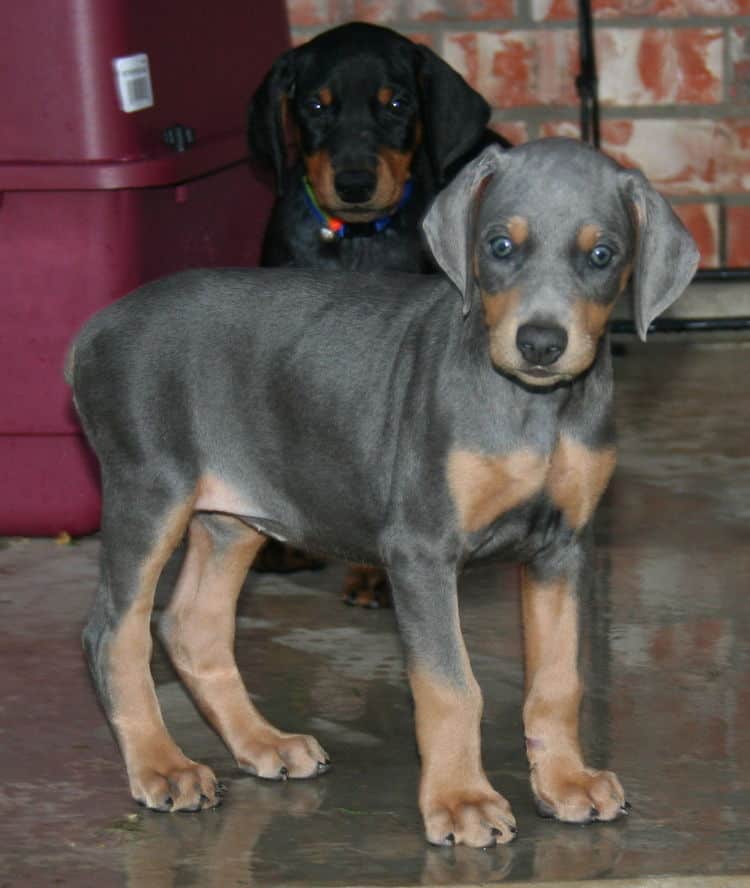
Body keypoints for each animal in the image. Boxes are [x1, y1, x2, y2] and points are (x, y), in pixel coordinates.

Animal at [69, 137, 700, 848]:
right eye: (499, 246)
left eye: (602, 255)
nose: (540, 344)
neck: (535, 409)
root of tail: (94, 329)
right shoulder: (421, 549)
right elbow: (451, 684)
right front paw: (460, 800)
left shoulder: (561, 550)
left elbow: (558, 680)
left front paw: (565, 782)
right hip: (148, 491)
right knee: (114, 632)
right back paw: (162, 766)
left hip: (233, 514)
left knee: (191, 626)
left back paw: (264, 744)